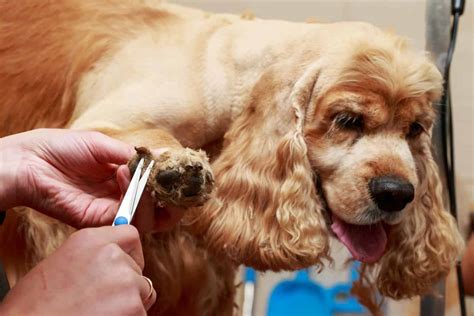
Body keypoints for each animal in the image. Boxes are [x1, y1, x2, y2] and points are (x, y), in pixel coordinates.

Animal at [0, 1, 462, 314]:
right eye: (347, 120)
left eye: (415, 129)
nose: (397, 193)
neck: (223, 63)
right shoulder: (93, 125)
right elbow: (144, 135)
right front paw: (174, 168)